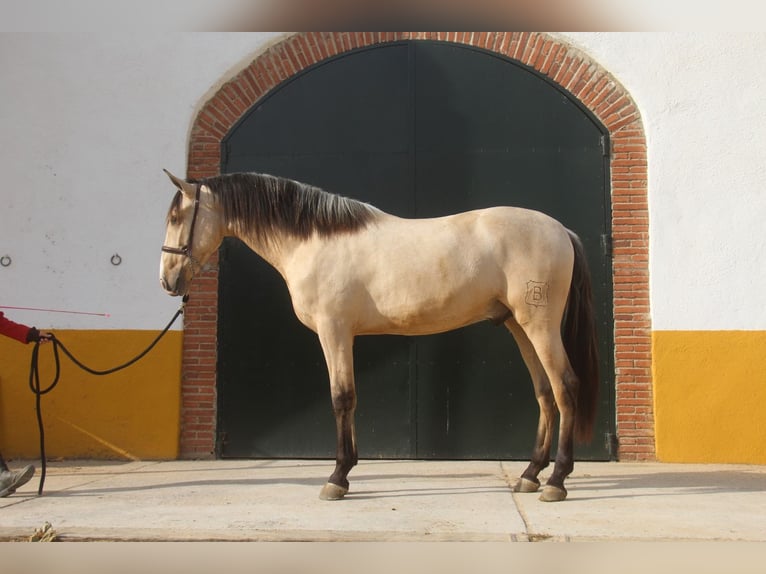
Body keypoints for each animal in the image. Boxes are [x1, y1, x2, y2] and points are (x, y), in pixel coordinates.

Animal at [160, 170, 600, 504]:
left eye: (177, 216)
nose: (167, 280)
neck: (314, 240)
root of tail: (561, 230)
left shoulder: (334, 330)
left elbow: (342, 398)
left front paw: (337, 477)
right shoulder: (341, 335)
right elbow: (348, 398)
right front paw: (346, 470)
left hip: (540, 326)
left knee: (565, 388)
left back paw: (556, 481)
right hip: (519, 326)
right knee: (544, 393)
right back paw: (530, 474)